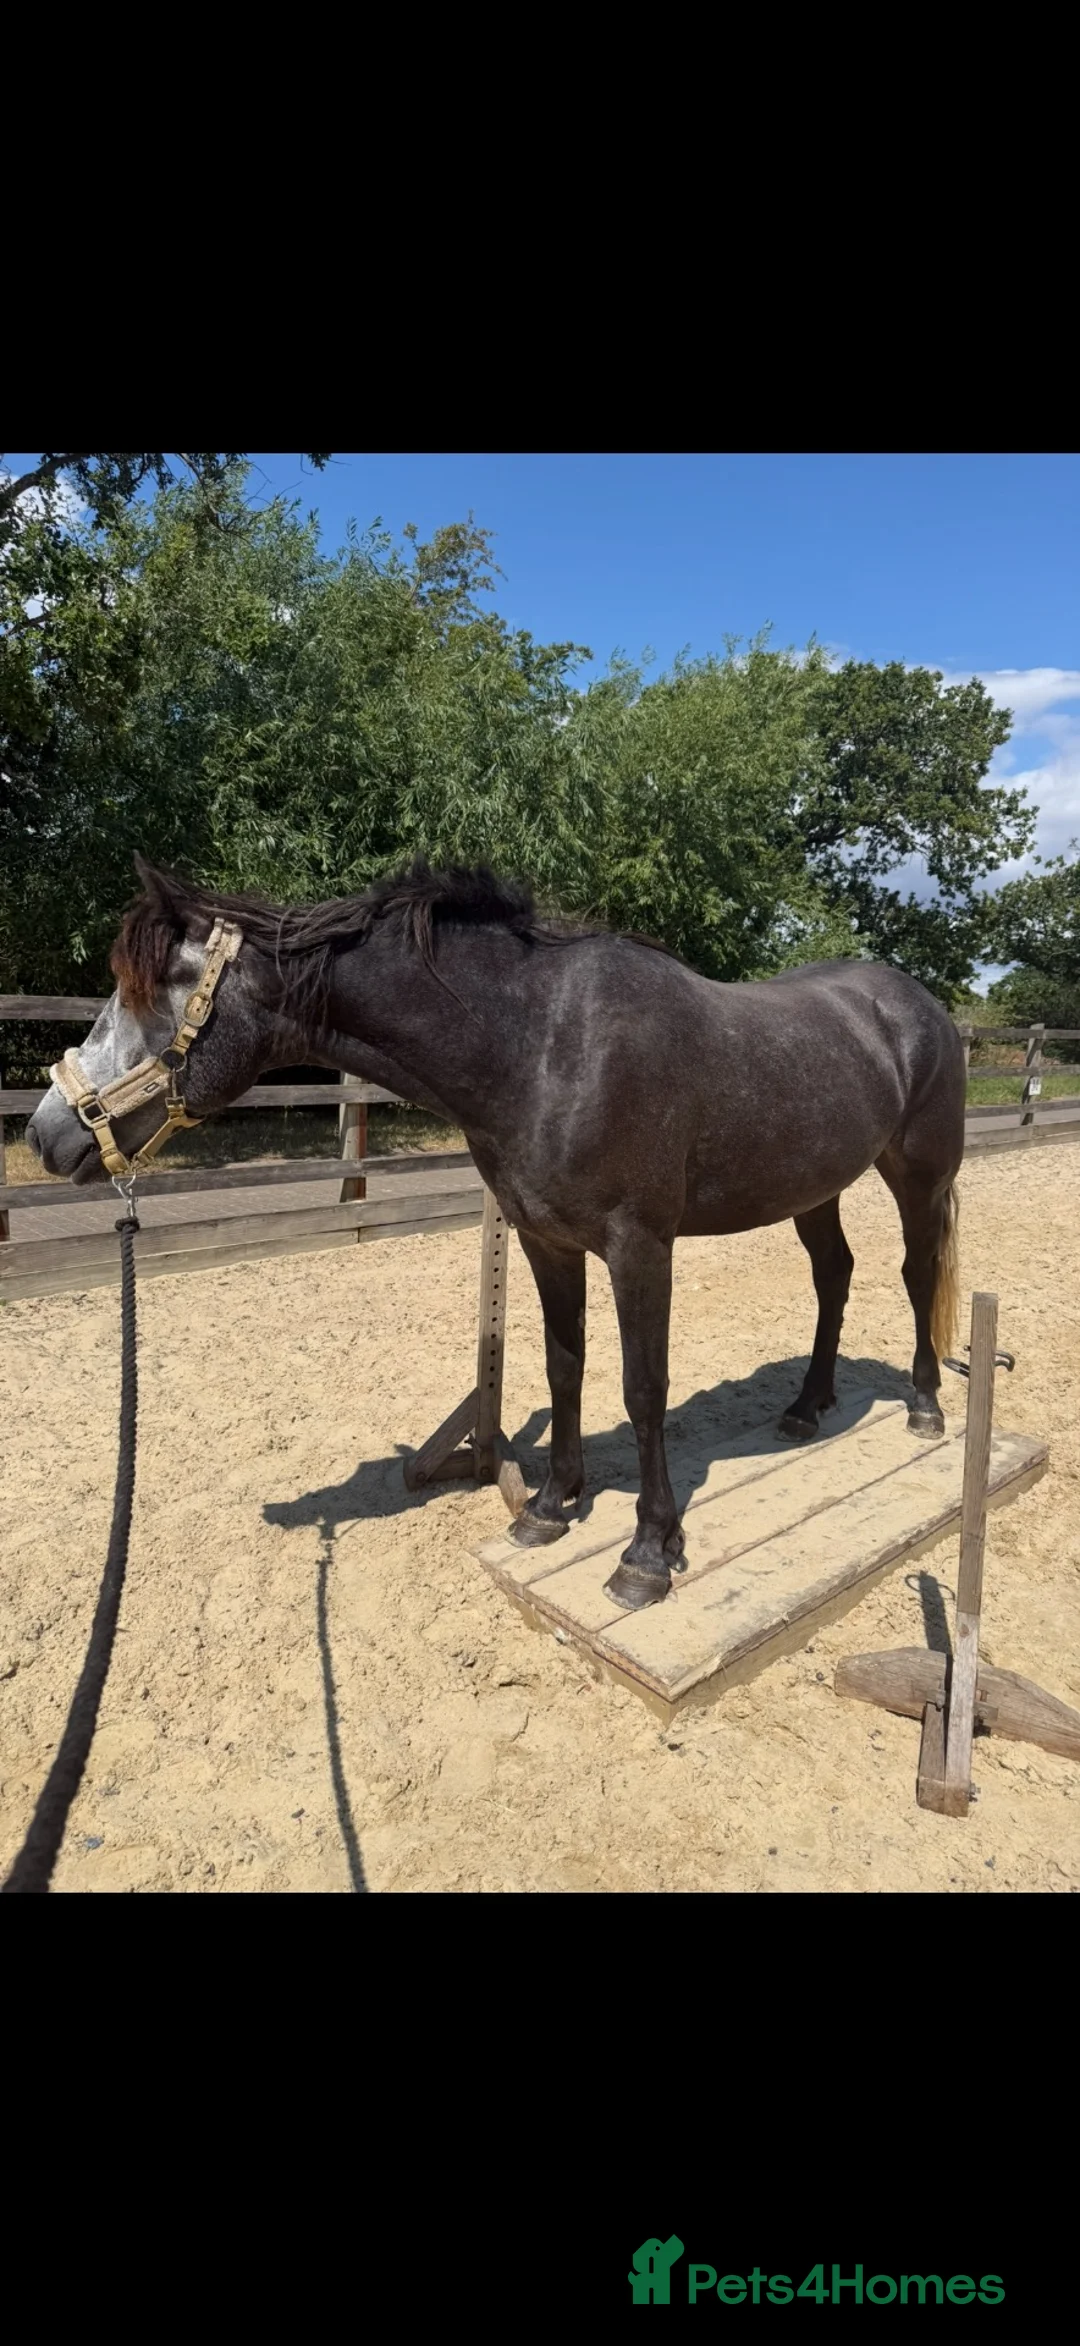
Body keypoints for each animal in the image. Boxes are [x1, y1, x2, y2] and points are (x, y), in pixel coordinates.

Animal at [27, 855, 965, 1613]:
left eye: (157, 993)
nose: (46, 1134)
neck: (541, 1045)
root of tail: (915, 1004)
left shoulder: (640, 1247)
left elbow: (643, 1387)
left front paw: (648, 1554)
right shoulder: (547, 1241)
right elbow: (563, 1366)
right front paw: (551, 1507)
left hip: (917, 1175)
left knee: (916, 1274)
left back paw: (924, 1408)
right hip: (817, 1187)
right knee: (835, 1274)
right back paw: (806, 1408)